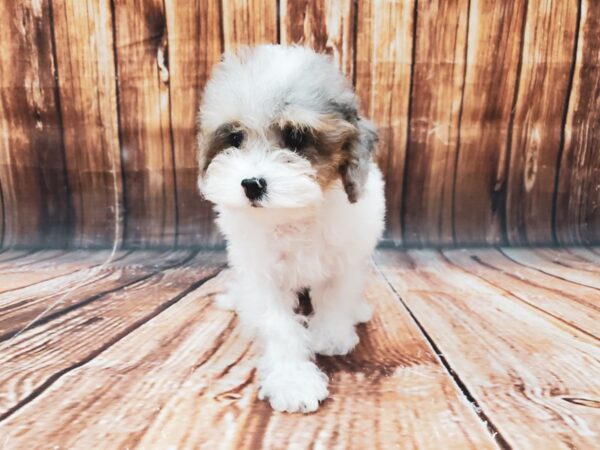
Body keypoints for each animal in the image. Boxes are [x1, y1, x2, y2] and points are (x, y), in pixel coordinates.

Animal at [197, 44, 384, 412]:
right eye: (235, 137)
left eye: (296, 137)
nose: (251, 184)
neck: (293, 214)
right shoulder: (261, 274)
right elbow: (279, 326)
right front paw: (292, 380)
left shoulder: (347, 259)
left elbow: (337, 297)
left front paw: (331, 336)